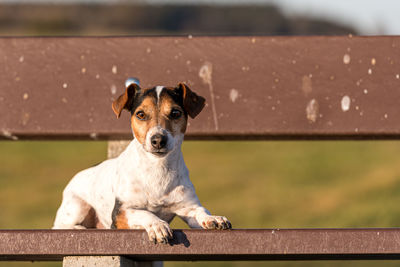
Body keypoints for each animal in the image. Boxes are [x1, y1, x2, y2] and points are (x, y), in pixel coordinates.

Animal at [52, 82, 231, 244]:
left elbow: (201, 211)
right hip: (78, 207)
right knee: (61, 226)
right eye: (141, 114)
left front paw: (213, 218)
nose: (158, 140)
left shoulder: (188, 206)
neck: (157, 168)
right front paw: (157, 225)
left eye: (175, 113)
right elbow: (145, 213)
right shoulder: (121, 213)